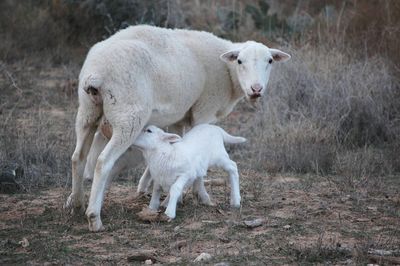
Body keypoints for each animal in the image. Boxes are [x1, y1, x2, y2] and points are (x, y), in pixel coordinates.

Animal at [65, 24, 290, 231]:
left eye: (270, 61)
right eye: (240, 61)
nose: (256, 89)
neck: (227, 73)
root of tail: (96, 73)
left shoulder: (177, 116)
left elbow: (175, 145)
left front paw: (159, 190)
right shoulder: (204, 110)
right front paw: (201, 195)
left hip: (87, 112)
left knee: (78, 158)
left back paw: (77, 203)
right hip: (127, 115)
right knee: (103, 162)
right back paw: (94, 217)